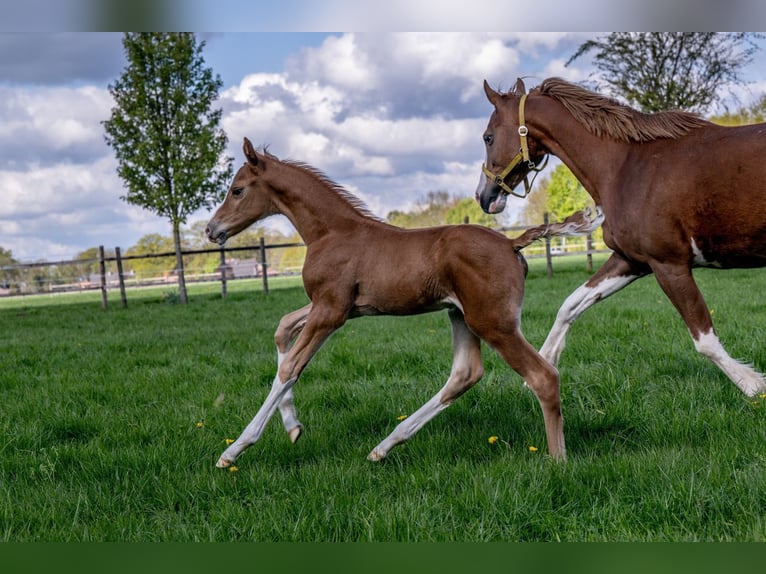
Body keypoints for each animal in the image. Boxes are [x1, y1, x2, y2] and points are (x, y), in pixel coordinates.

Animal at [207, 138, 604, 468]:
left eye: (237, 190)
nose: (212, 230)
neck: (332, 233)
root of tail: (511, 243)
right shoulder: (332, 307)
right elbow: (282, 330)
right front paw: (293, 428)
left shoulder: (330, 311)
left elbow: (290, 367)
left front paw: (234, 450)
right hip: (460, 315)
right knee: (465, 374)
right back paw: (384, 447)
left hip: (494, 323)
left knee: (543, 376)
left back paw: (558, 462)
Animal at [476, 79, 764, 398]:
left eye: (488, 137)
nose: (485, 198)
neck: (626, 166)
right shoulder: (632, 261)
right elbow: (570, 305)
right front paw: (541, 368)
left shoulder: (669, 265)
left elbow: (705, 340)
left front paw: (753, 386)